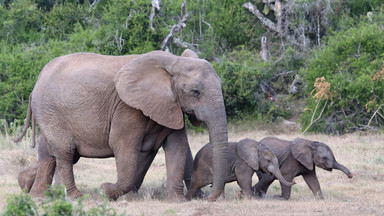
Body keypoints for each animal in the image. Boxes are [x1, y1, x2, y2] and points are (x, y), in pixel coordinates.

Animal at [15, 49, 228, 202]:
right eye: (195, 91)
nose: (209, 196)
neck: (173, 62)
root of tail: (35, 85)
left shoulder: (170, 105)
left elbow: (178, 146)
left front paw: (177, 201)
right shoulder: (126, 108)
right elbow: (123, 147)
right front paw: (104, 190)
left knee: (51, 153)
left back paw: (35, 193)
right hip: (51, 111)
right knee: (65, 153)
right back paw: (74, 197)